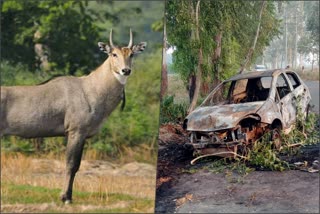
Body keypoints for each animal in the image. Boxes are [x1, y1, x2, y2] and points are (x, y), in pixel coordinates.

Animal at [0, 28, 147, 204]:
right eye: (113, 54)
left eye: (131, 54)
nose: (126, 70)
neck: (91, 89)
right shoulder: (76, 131)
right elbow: (71, 164)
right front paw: (65, 198)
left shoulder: (82, 134)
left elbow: (76, 165)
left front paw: (68, 196)